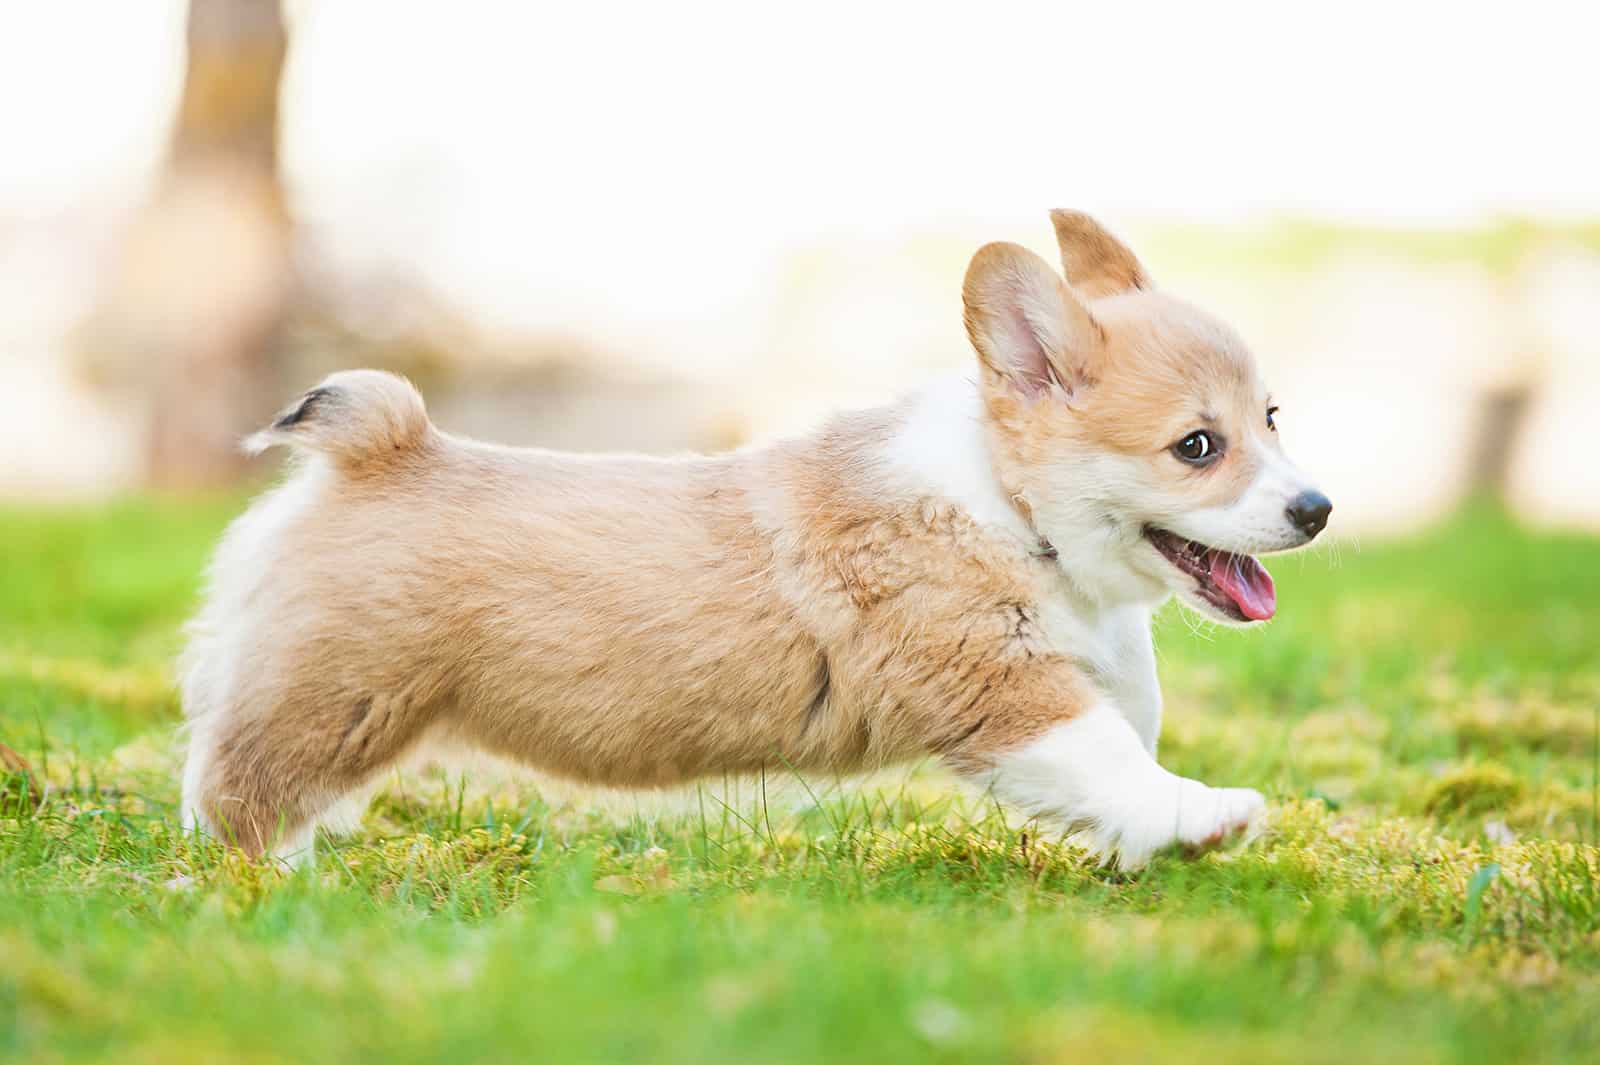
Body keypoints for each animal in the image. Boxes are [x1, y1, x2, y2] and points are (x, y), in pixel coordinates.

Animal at [178, 211, 1324, 869]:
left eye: (1272, 418)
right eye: (1196, 446)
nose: (1315, 509)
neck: (1010, 506)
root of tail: (388, 444)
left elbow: (1126, 726)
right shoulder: (998, 686)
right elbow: (1105, 752)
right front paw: (1198, 818)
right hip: (333, 697)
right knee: (234, 789)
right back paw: (248, 892)